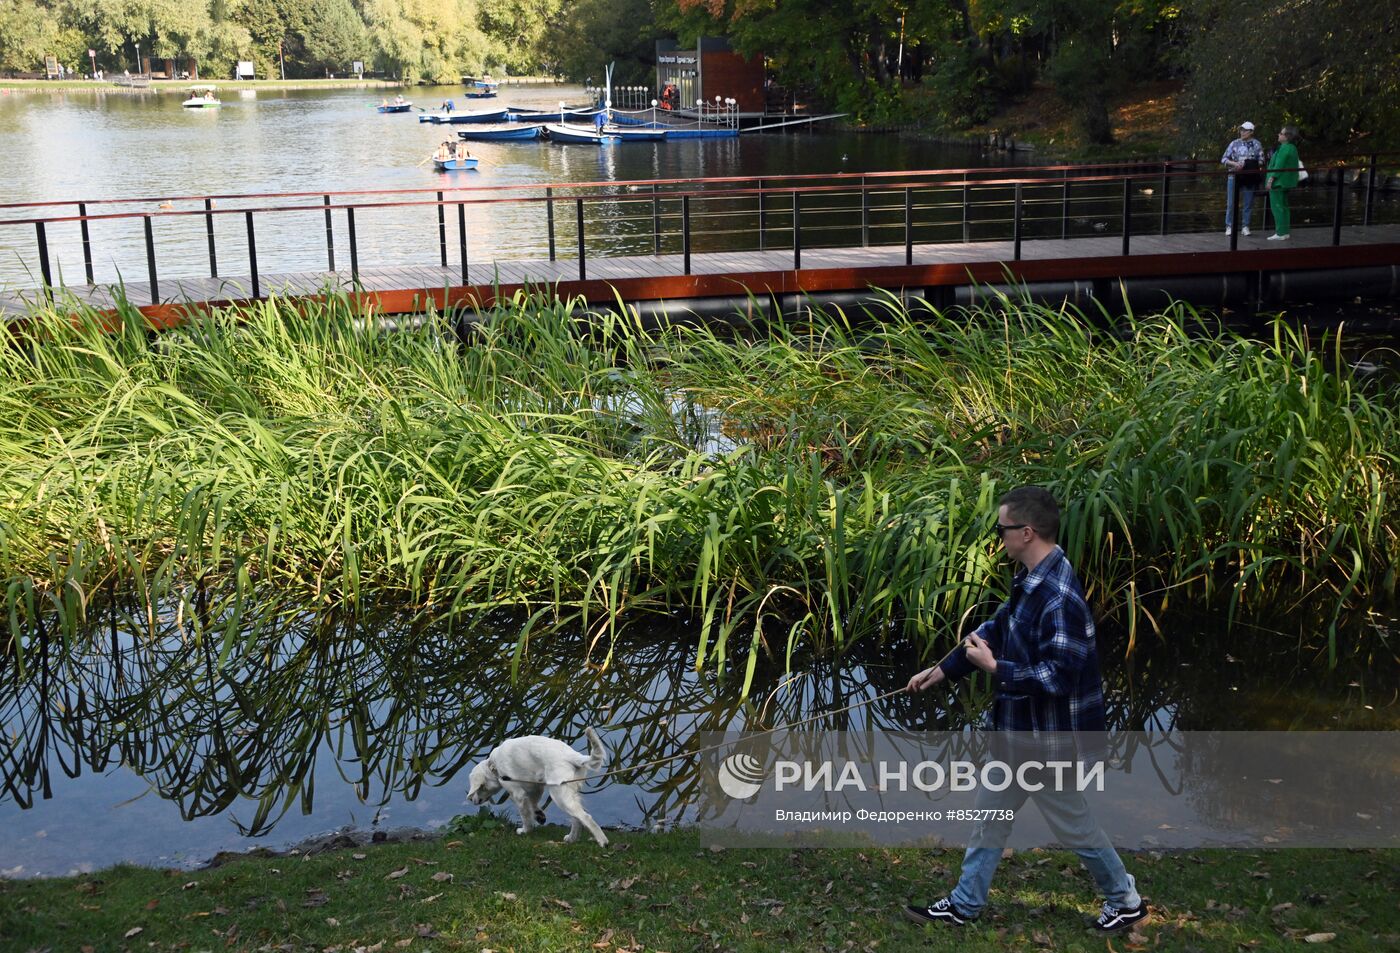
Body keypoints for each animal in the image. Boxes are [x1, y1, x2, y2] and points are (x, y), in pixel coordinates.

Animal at [467, 727, 610, 845]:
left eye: (480, 788)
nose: (472, 800)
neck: (494, 766)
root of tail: (573, 756)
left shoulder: (517, 794)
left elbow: (525, 815)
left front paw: (525, 830)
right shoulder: (536, 787)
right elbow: (533, 804)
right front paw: (539, 816)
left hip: (559, 794)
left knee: (585, 817)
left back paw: (602, 841)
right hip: (569, 793)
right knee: (577, 818)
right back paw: (571, 838)